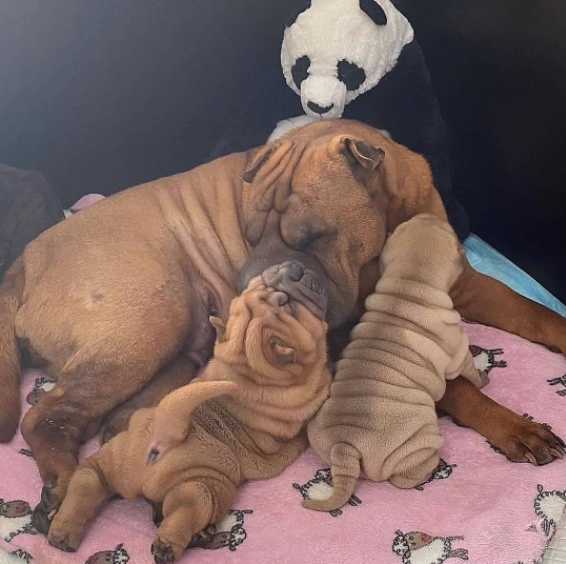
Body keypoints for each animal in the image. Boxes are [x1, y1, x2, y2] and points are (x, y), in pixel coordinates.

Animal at [48, 270, 332, 560]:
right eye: (287, 303)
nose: (300, 271)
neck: (246, 369)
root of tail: (164, 430)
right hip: (205, 486)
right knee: (187, 507)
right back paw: (169, 545)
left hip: (112, 458)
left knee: (88, 478)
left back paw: (63, 531)